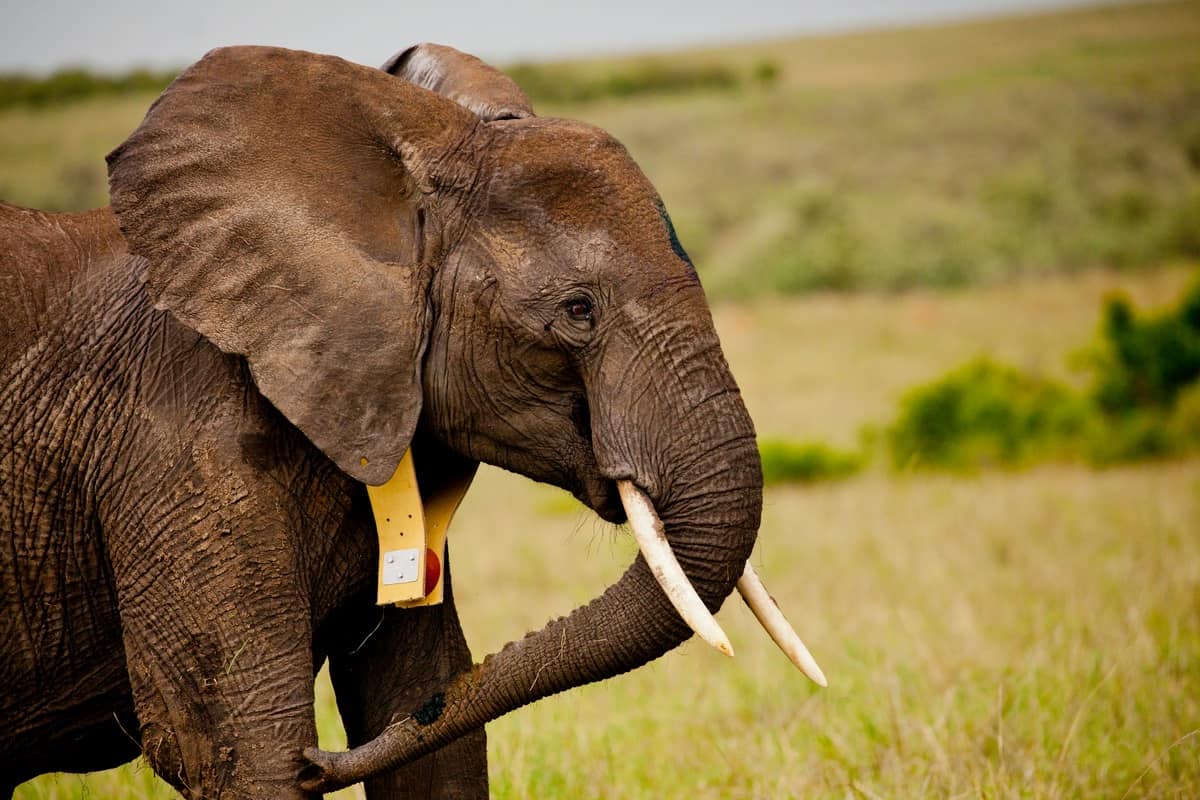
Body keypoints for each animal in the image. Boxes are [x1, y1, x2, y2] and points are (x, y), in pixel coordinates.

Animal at [0, 43, 823, 797]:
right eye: (578, 311)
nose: (320, 761)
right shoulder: (175, 445)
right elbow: (238, 753)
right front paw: (288, 757)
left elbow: (425, 720)